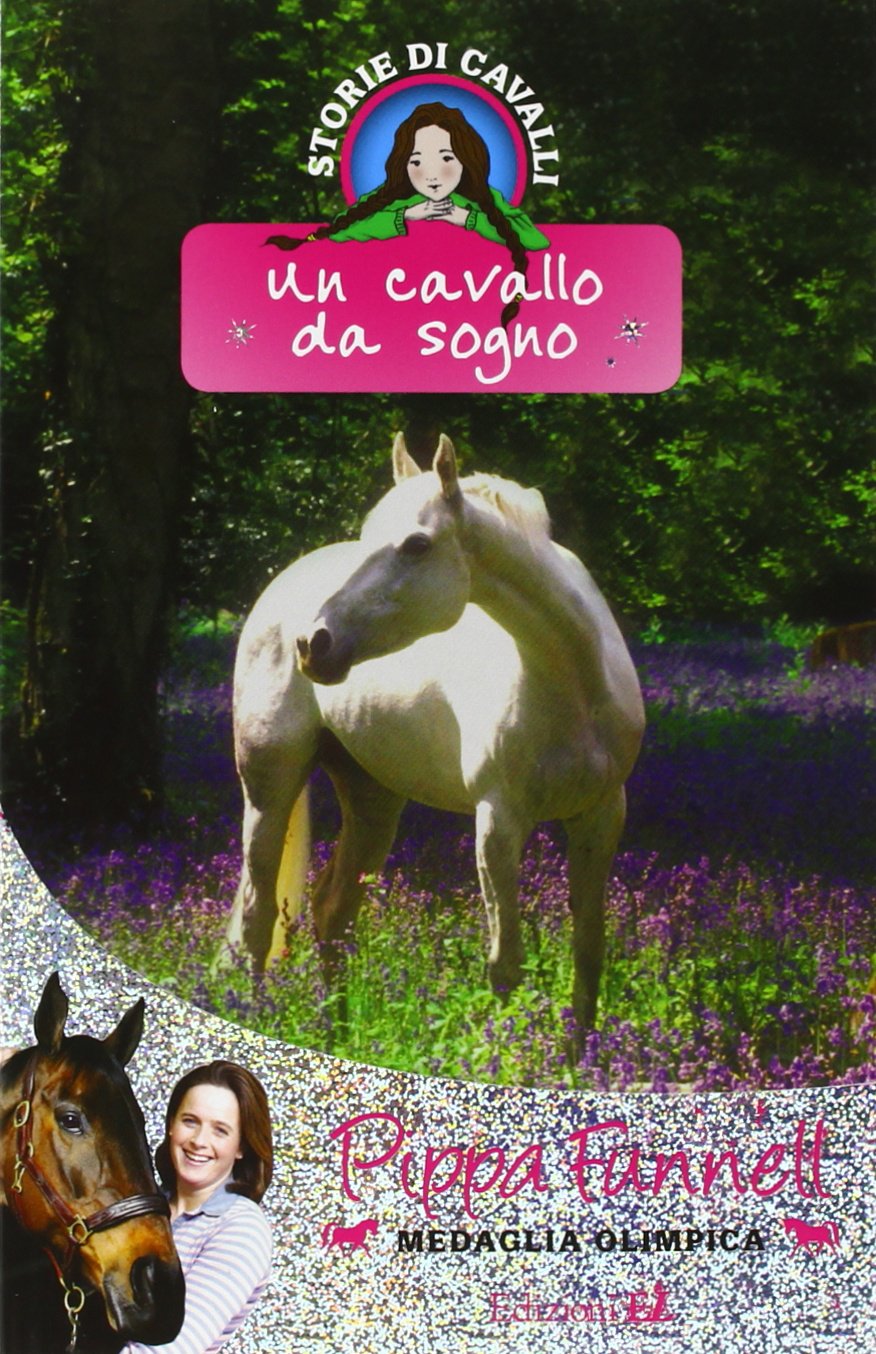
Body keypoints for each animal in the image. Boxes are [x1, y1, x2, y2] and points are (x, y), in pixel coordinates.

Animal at [226, 433, 644, 1047]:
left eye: (417, 544)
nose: (313, 644)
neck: (573, 685)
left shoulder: (602, 815)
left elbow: (588, 953)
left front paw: (579, 1059)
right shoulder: (498, 823)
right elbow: (505, 966)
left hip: (373, 801)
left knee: (332, 912)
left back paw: (337, 1038)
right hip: (269, 788)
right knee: (258, 923)